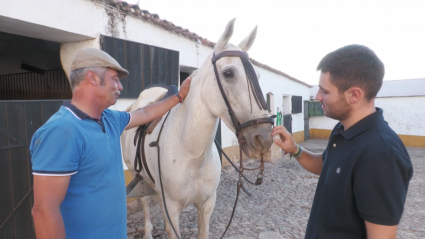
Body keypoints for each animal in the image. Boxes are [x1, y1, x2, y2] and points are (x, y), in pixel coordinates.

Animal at [121, 19, 272, 239]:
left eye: (259, 75)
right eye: (228, 73)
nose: (264, 138)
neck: (191, 154)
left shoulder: (207, 205)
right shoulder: (171, 209)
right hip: (136, 174)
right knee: (145, 202)